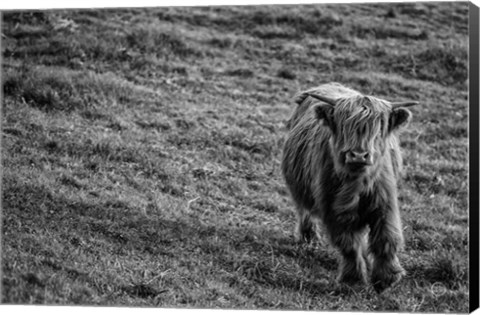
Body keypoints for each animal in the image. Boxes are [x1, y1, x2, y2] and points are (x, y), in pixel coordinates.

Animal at [282, 82, 416, 294]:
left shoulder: (385, 204)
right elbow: (349, 245)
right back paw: (308, 238)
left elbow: (386, 238)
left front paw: (386, 278)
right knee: (304, 210)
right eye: (344, 125)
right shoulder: (334, 210)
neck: (357, 184)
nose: (358, 155)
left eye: (378, 127)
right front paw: (353, 280)